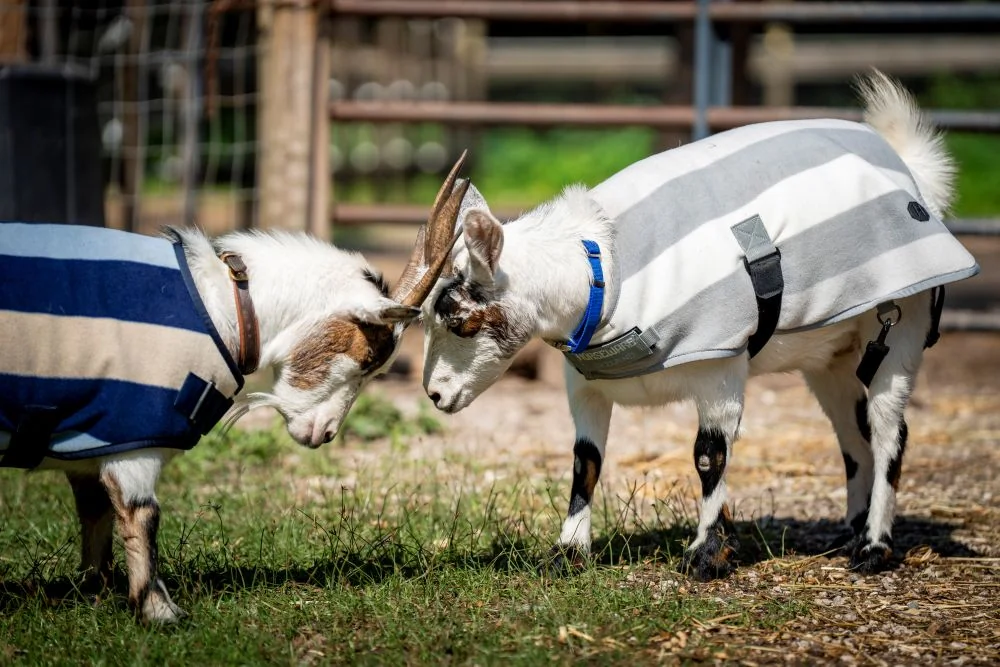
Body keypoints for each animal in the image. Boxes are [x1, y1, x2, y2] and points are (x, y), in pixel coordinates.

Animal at [0, 156, 468, 622]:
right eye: (369, 359)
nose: (325, 433)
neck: (222, 305)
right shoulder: (132, 434)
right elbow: (142, 513)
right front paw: (159, 612)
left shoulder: (90, 440)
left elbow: (94, 511)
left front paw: (95, 592)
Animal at [420, 72, 979, 579]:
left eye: (459, 319)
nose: (435, 395)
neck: (605, 268)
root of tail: (912, 176)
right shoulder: (584, 384)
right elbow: (585, 461)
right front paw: (568, 553)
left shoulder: (721, 366)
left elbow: (710, 455)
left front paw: (708, 554)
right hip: (832, 356)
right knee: (851, 432)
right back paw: (852, 531)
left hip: (900, 325)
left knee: (889, 432)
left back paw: (874, 548)